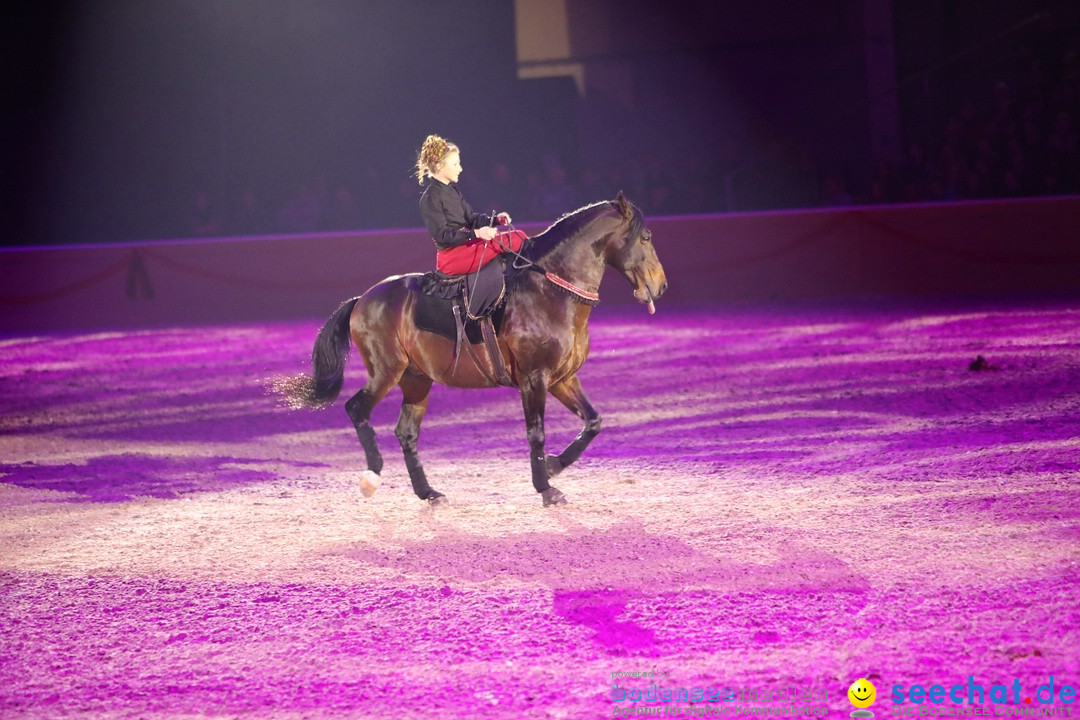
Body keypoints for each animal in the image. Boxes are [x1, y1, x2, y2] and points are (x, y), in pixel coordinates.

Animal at [276, 191, 665, 507]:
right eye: (646, 237)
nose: (659, 286)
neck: (548, 290)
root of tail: (362, 299)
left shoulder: (562, 379)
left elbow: (593, 421)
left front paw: (554, 466)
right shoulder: (534, 379)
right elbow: (536, 433)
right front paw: (546, 488)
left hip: (416, 380)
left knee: (406, 433)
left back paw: (428, 493)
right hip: (386, 371)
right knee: (357, 409)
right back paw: (372, 477)